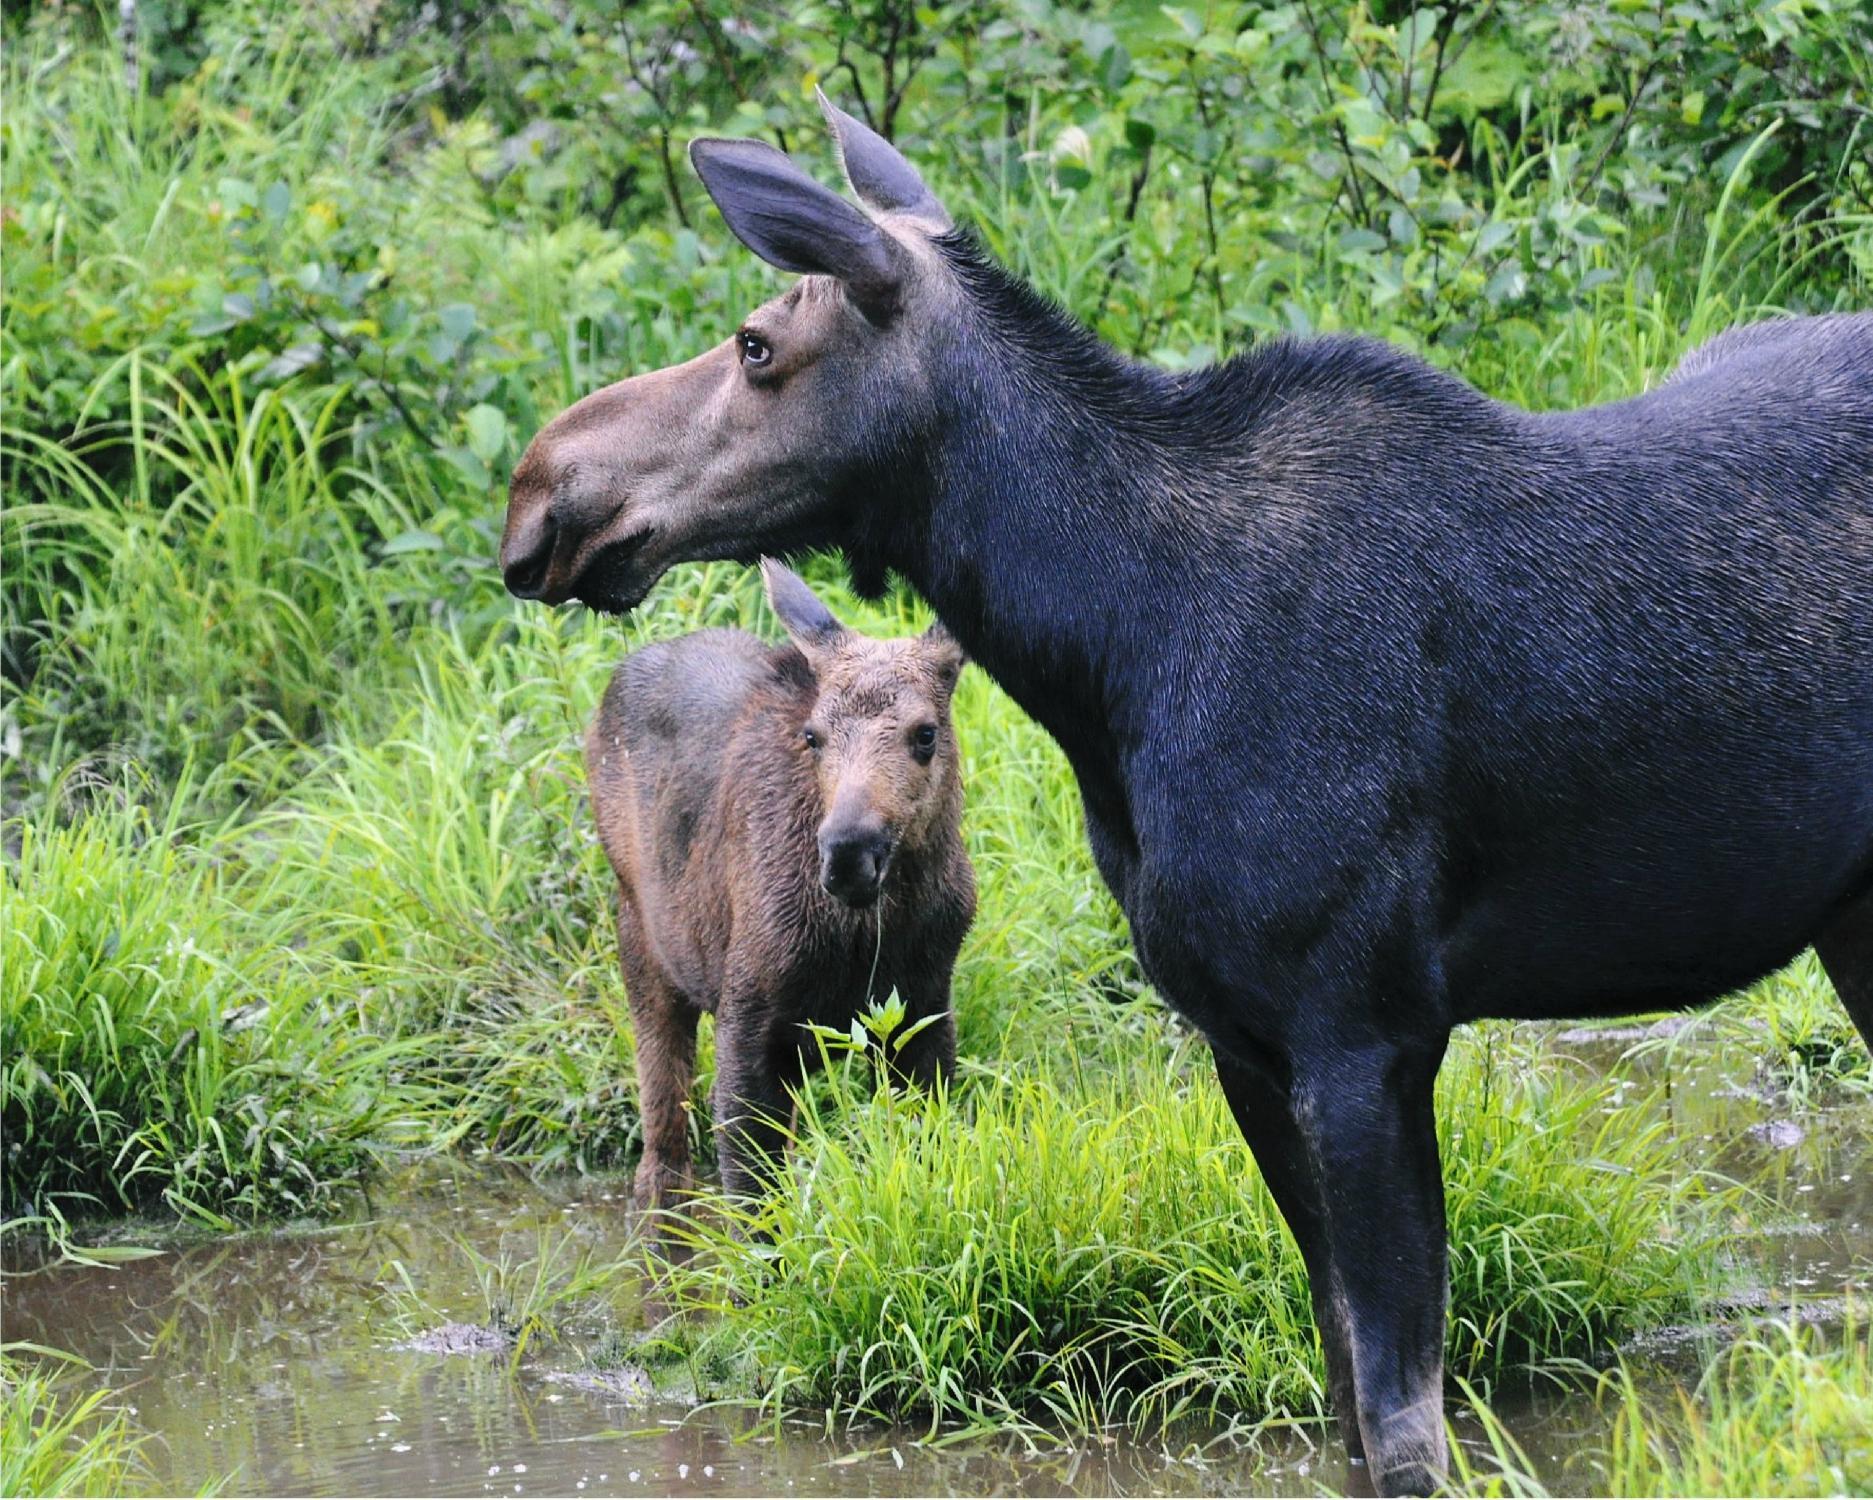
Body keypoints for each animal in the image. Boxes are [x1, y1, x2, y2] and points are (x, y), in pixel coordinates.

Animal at [584, 561, 973, 1205]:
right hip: (641, 939)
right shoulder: (746, 1017)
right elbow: (752, 1199)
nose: (848, 856)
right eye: (813, 735)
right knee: (662, 1148)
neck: (871, 929)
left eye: (925, 733)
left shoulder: (922, 1007)